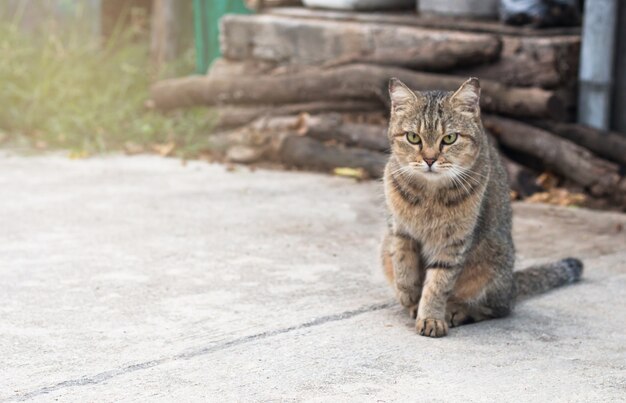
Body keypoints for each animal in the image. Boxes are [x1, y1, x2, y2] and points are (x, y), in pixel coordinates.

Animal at [378, 76, 584, 338]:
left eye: (449, 138)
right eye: (413, 138)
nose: (430, 159)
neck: (429, 193)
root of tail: (512, 283)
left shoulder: (453, 243)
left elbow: (438, 283)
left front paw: (431, 317)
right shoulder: (399, 230)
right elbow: (403, 264)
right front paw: (409, 295)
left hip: (494, 262)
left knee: (498, 308)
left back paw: (457, 310)